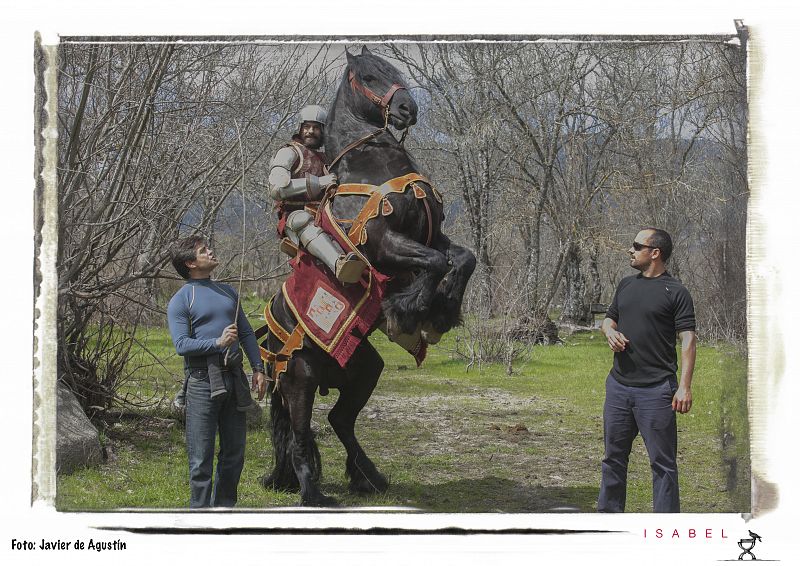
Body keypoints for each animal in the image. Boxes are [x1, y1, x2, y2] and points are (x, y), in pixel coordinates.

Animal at [262, 46, 476, 508]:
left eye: (394, 69)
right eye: (369, 76)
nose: (408, 109)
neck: (371, 166)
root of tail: (270, 332)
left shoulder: (433, 234)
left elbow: (462, 259)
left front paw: (442, 313)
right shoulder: (384, 243)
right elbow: (434, 263)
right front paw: (408, 312)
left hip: (363, 370)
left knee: (341, 419)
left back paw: (368, 476)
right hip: (300, 377)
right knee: (301, 433)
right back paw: (312, 493)